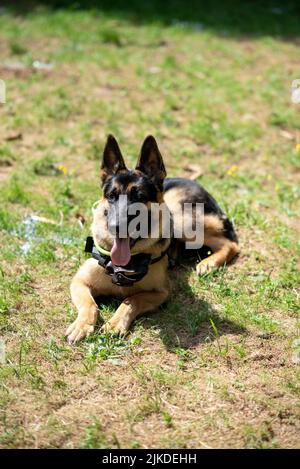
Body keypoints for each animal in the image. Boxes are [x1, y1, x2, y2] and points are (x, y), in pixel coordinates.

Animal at [65, 135, 239, 344]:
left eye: (139, 197)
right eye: (112, 196)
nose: (115, 226)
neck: (128, 263)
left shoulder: (161, 293)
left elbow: (132, 299)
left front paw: (115, 323)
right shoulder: (80, 282)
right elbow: (89, 304)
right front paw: (82, 325)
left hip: (181, 219)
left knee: (231, 244)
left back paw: (209, 263)